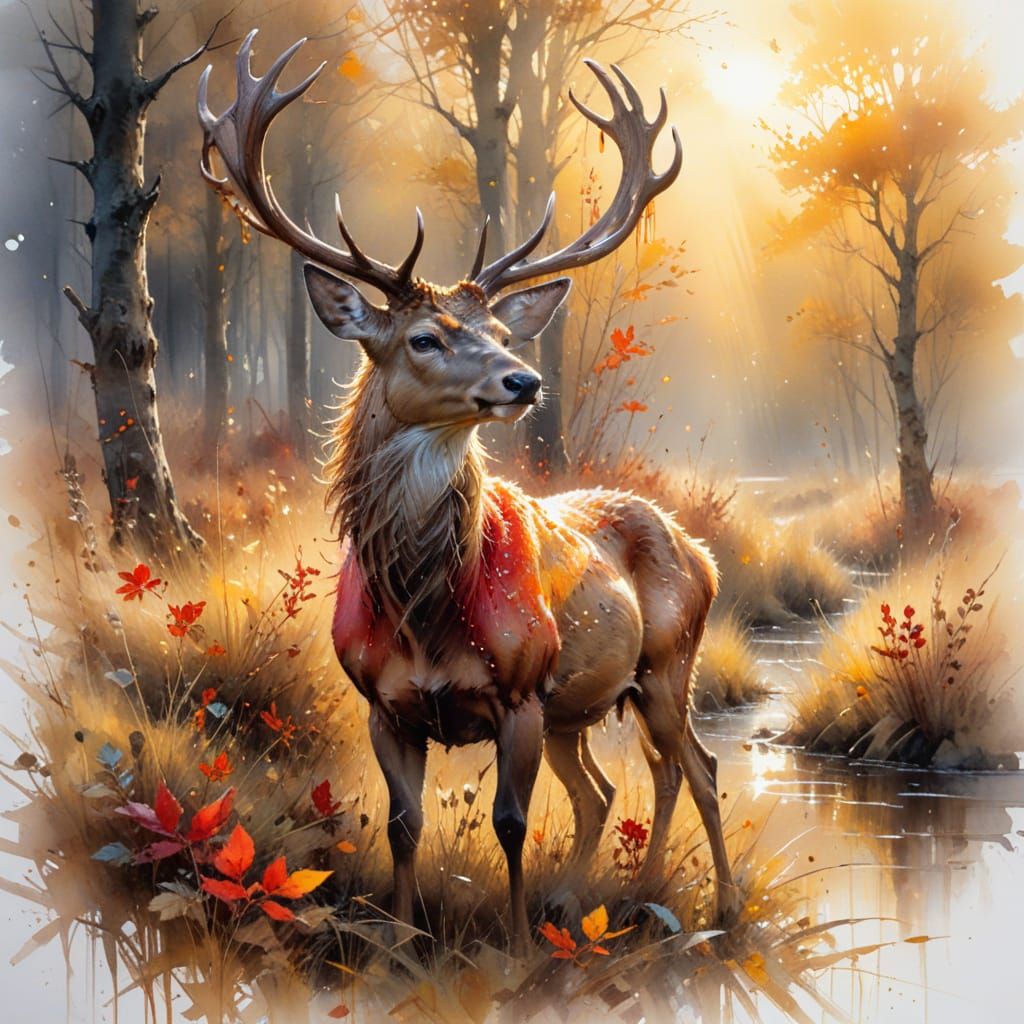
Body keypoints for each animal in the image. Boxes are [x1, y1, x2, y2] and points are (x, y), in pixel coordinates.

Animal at [198, 31, 738, 955]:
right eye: (424, 337)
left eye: (498, 334)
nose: (523, 379)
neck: (423, 612)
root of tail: (699, 548)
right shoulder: (383, 704)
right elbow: (402, 826)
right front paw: (402, 943)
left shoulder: (521, 688)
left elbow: (511, 823)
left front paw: (515, 951)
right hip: (580, 707)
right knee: (611, 788)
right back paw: (591, 901)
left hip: (667, 662)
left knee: (693, 767)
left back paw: (715, 908)